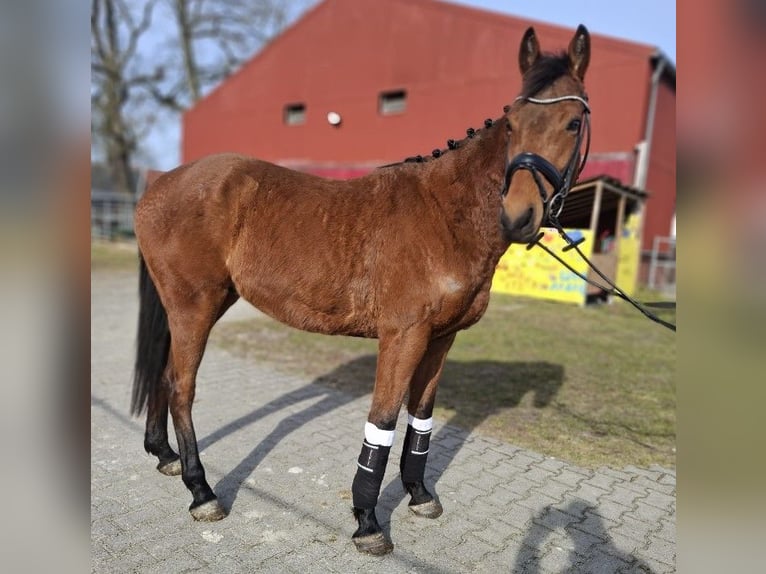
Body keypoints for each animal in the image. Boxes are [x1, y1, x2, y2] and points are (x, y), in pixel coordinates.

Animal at [132, 24, 591, 555]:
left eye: (572, 123)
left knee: (163, 376)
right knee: (180, 386)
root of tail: (161, 183)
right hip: (195, 307)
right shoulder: (403, 336)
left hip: (191, 306)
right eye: (512, 123)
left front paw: (419, 495)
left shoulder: (441, 338)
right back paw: (202, 491)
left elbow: (421, 417)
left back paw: (164, 455)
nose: (517, 216)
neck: (445, 216)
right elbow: (384, 421)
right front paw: (368, 521)